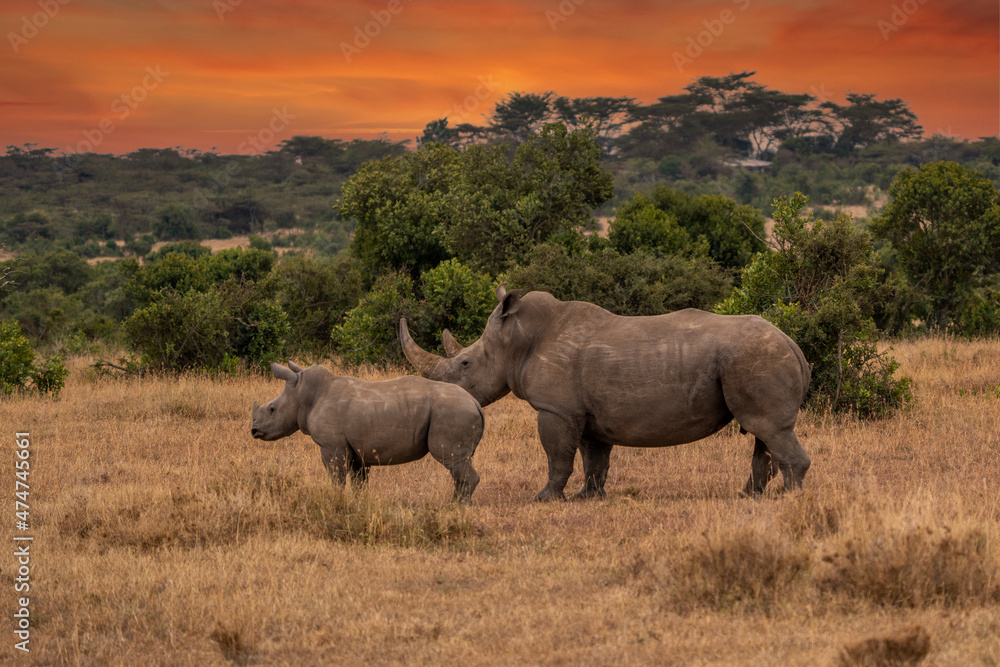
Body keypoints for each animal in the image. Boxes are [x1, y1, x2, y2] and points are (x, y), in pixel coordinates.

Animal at [251, 361, 484, 502]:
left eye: (272, 409)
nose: (254, 431)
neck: (303, 394)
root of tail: (475, 403)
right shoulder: (357, 451)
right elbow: (358, 484)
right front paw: (358, 504)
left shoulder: (331, 446)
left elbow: (336, 477)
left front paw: (335, 500)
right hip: (456, 411)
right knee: (460, 462)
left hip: (452, 411)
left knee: (453, 460)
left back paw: (453, 508)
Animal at [399, 287, 811, 501]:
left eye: (465, 363)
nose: (443, 391)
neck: (516, 339)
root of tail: (794, 344)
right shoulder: (586, 412)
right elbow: (593, 458)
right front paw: (588, 497)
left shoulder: (556, 409)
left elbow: (558, 457)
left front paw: (544, 499)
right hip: (755, 358)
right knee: (763, 432)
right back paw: (749, 496)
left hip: (756, 357)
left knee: (768, 428)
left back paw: (788, 498)